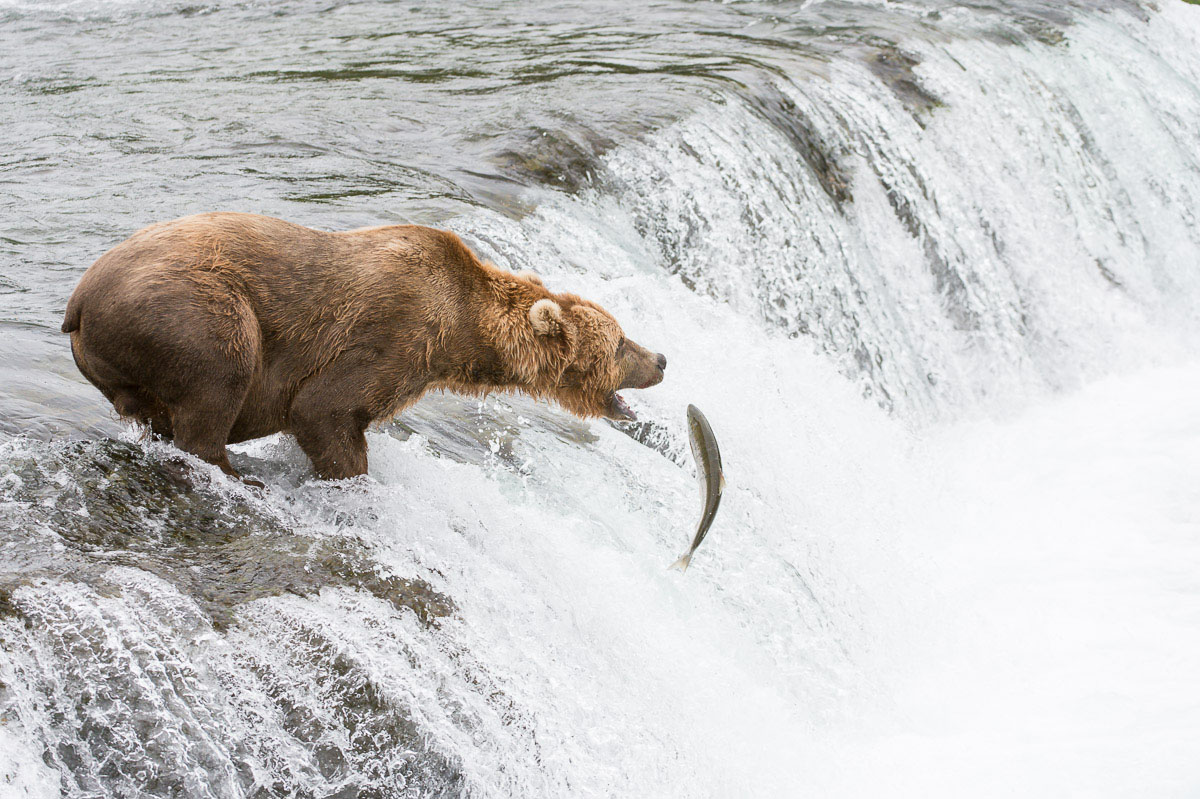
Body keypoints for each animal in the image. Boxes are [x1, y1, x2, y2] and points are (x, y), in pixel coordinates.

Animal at [63, 211, 667, 479]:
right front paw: (350, 473)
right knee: (219, 378)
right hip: (189, 310)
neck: (462, 331)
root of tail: (78, 301)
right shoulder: (394, 330)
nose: (661, 358)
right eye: (619, 342)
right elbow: (324, 409)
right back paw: (232, 468)